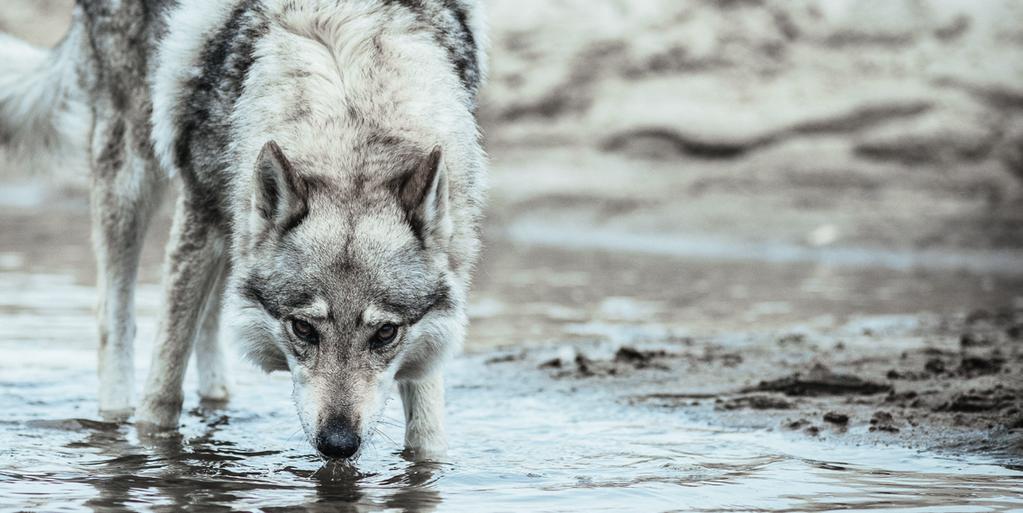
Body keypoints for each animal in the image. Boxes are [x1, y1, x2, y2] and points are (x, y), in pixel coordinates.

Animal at [0, 0, 486, 462]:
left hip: (229, 226)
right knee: (115, 321)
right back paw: (111, 423)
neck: (350, 112)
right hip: (132, 177)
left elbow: (427, 437)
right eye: (303, 329)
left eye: (385, 333)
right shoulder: (200, 212)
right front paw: (154, 450)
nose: (338, 443)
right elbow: (161, 394)